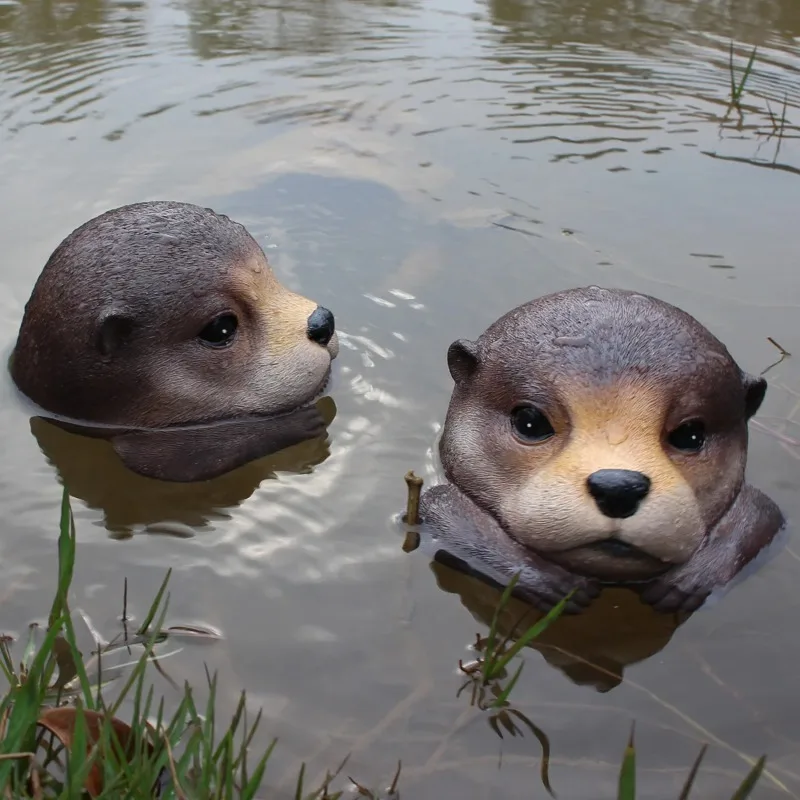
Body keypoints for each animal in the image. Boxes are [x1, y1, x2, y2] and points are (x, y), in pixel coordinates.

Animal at [418, 286, 785, 615]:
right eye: (529, 422)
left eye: (690, 435)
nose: (619, 486)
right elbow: (438, 506)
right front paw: (550, 582)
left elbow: (763, 512)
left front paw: (691, 579)